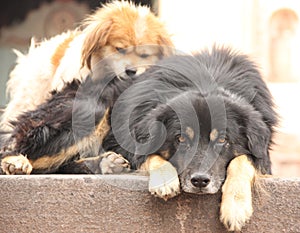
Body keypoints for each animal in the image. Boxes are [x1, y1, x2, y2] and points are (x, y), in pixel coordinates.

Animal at [0, 46, 278, 231]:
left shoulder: (262, 152)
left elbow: (242, 161)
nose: (199, 181)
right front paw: (165, 181)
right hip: (91, 110)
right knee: (19, 147)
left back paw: (105, 164)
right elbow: (150, 155)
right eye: (180, 139)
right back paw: (15, 163)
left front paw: (236, 207)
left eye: (222, 140)